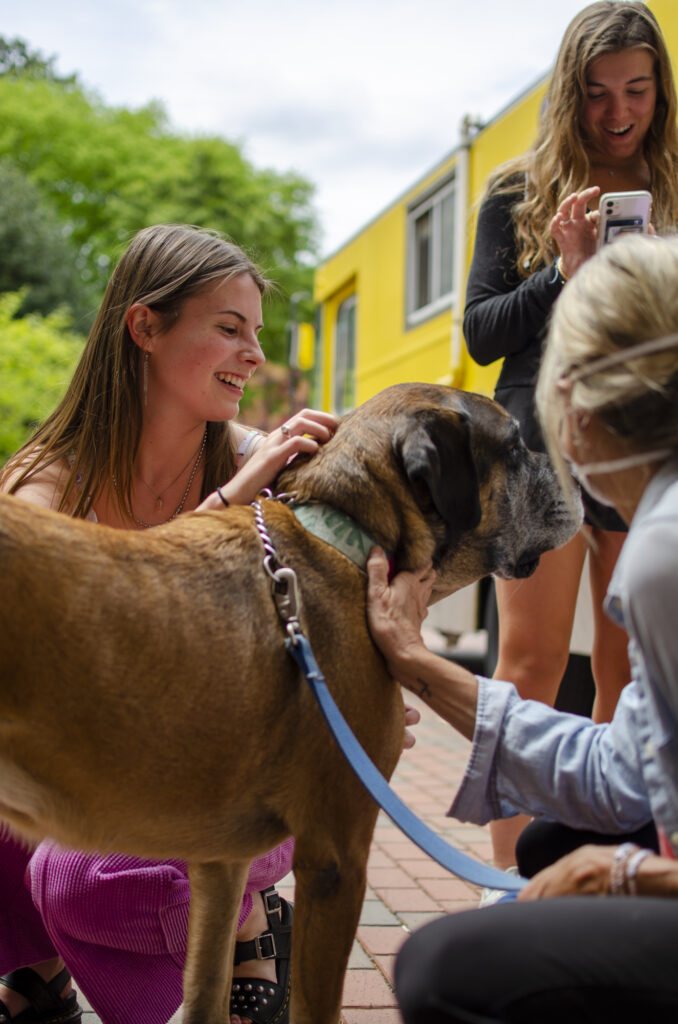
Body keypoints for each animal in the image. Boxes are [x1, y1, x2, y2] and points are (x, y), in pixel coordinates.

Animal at [0, 385, 581, 1024]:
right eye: (516, 445)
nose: (581, 475)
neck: (347, 539)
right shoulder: (337, 855)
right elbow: (315, 1005)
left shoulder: (219, 864)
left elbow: (205, 991)